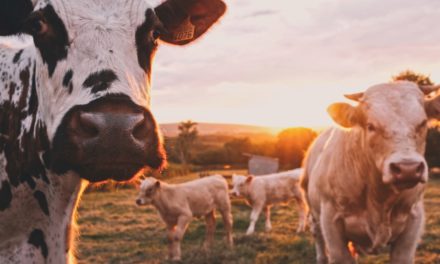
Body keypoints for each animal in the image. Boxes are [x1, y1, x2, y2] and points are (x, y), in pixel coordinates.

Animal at [300, 82, 440, 264]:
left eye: (422, 123)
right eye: (370, 126)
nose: (407, 169)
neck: (379, 199)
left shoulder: (413, 221)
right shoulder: (331, 222)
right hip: (313, 211)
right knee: (317, 236)